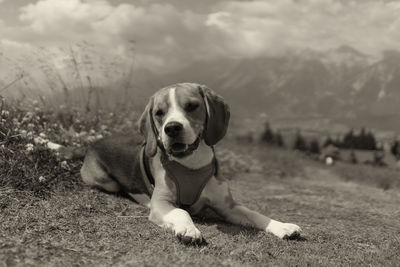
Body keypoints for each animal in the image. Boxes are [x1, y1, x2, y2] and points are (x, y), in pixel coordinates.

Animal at [80, 83, 300, 245]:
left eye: (192, 106)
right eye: (159, 112)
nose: (172, 128)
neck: (192, 163)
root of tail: (95, 141)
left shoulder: (228, 206)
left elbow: (255, 214)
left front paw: (282, 226)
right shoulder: (161, 203)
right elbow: (181, 210)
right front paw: (188, 228)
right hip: (106, 181)